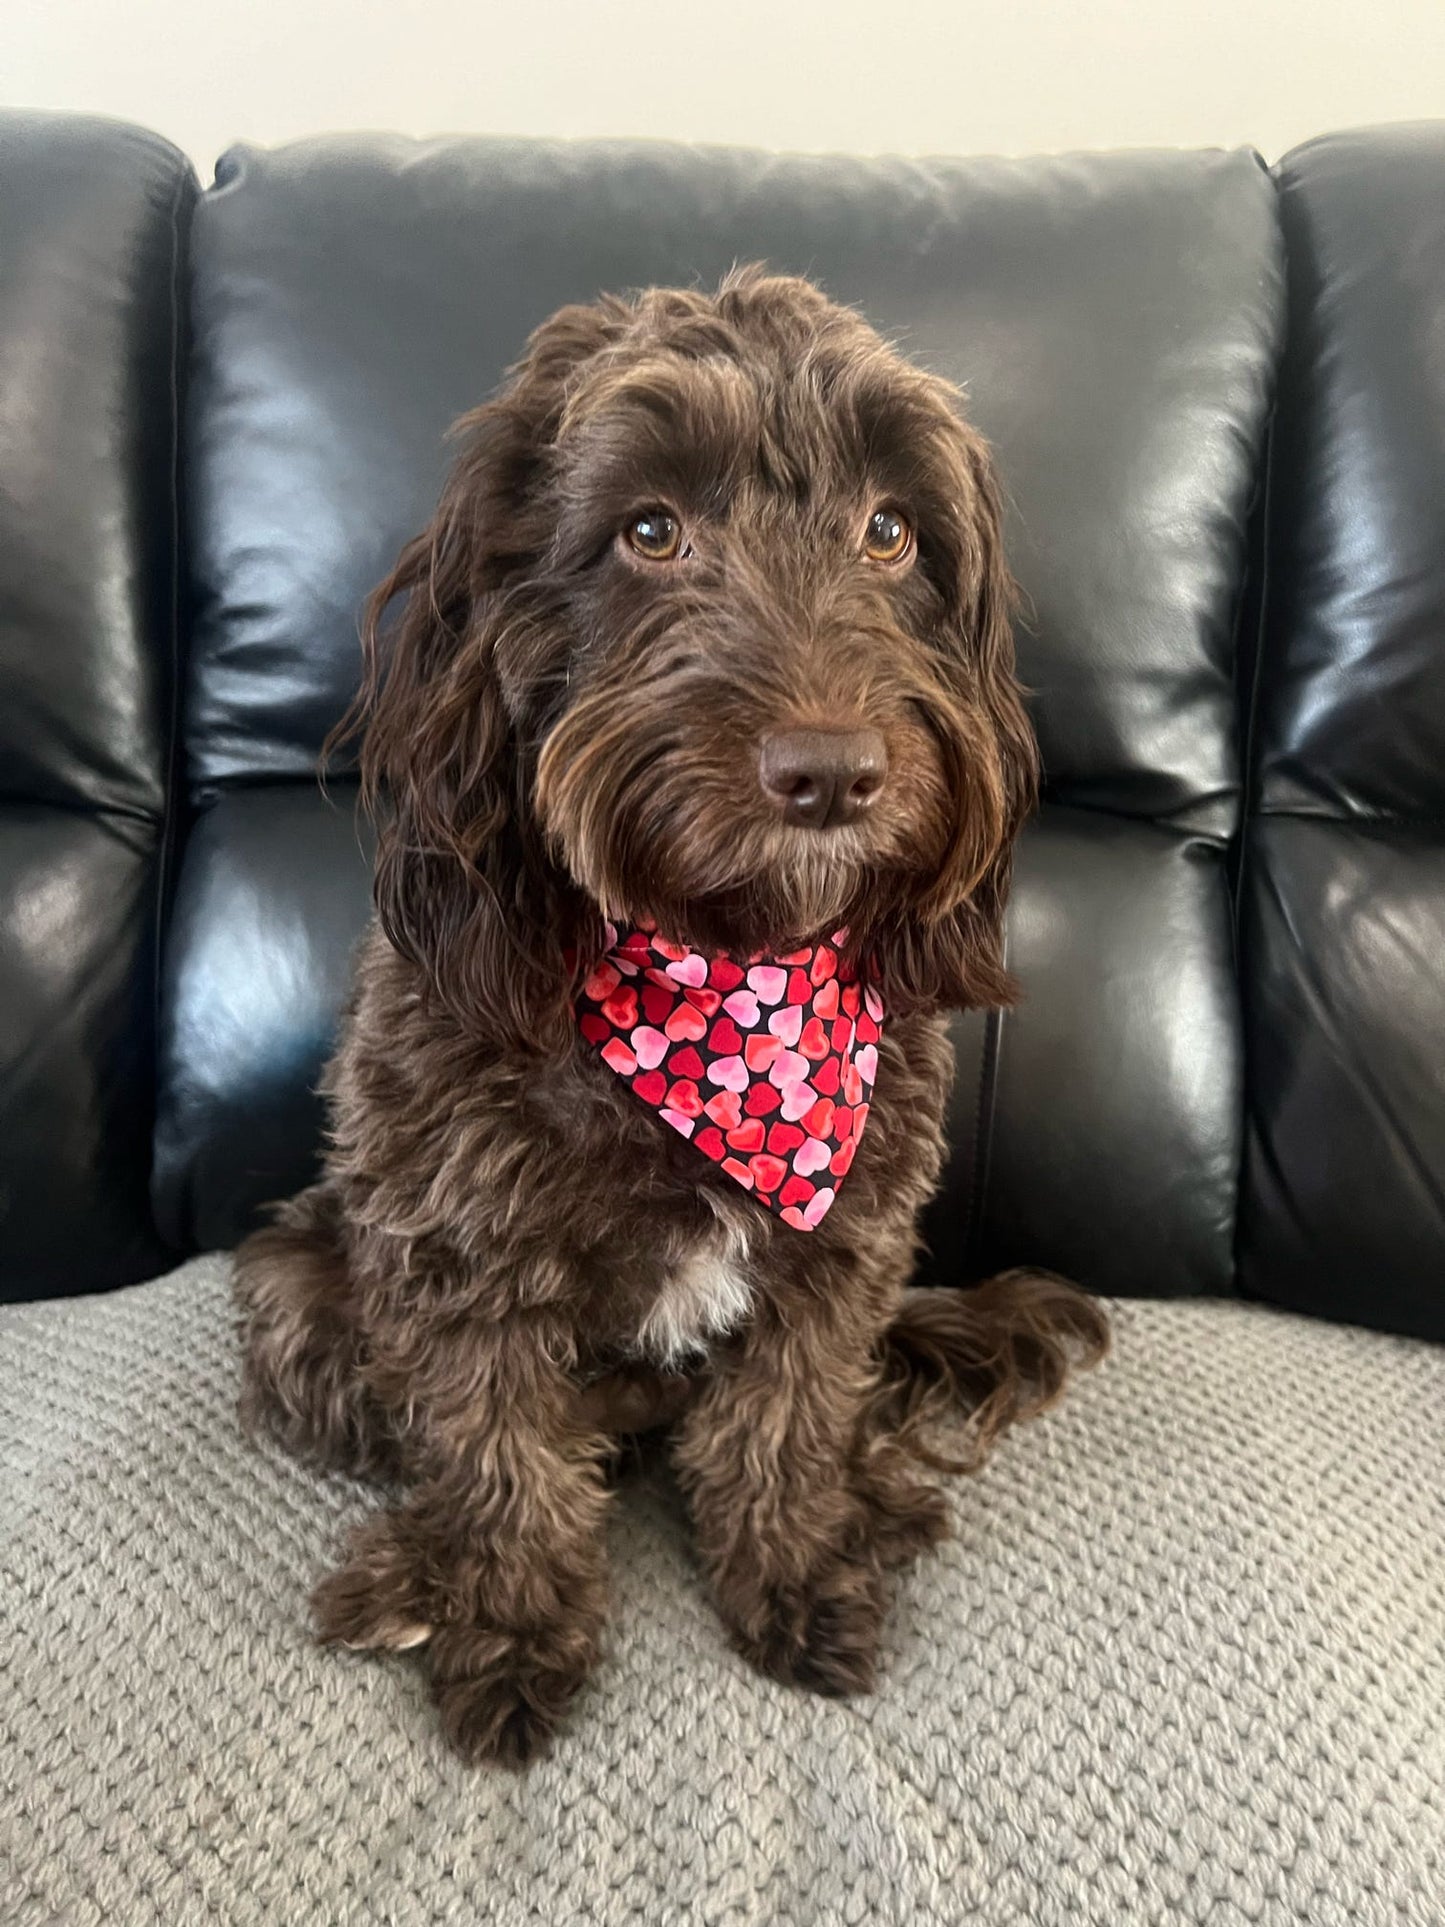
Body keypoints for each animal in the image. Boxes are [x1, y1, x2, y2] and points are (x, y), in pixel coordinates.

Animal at [237, 263, 1109, 1765]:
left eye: (891, 530)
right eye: (649, 528)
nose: (830, 772)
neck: (726, 975)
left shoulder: (842, 1249)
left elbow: (785, 1422)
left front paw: (795, 1568)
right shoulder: (457, 1261)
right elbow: (495, 1452)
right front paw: (510, 1625)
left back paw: (868, 1496)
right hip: (292, 1289)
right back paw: (416, 1570)